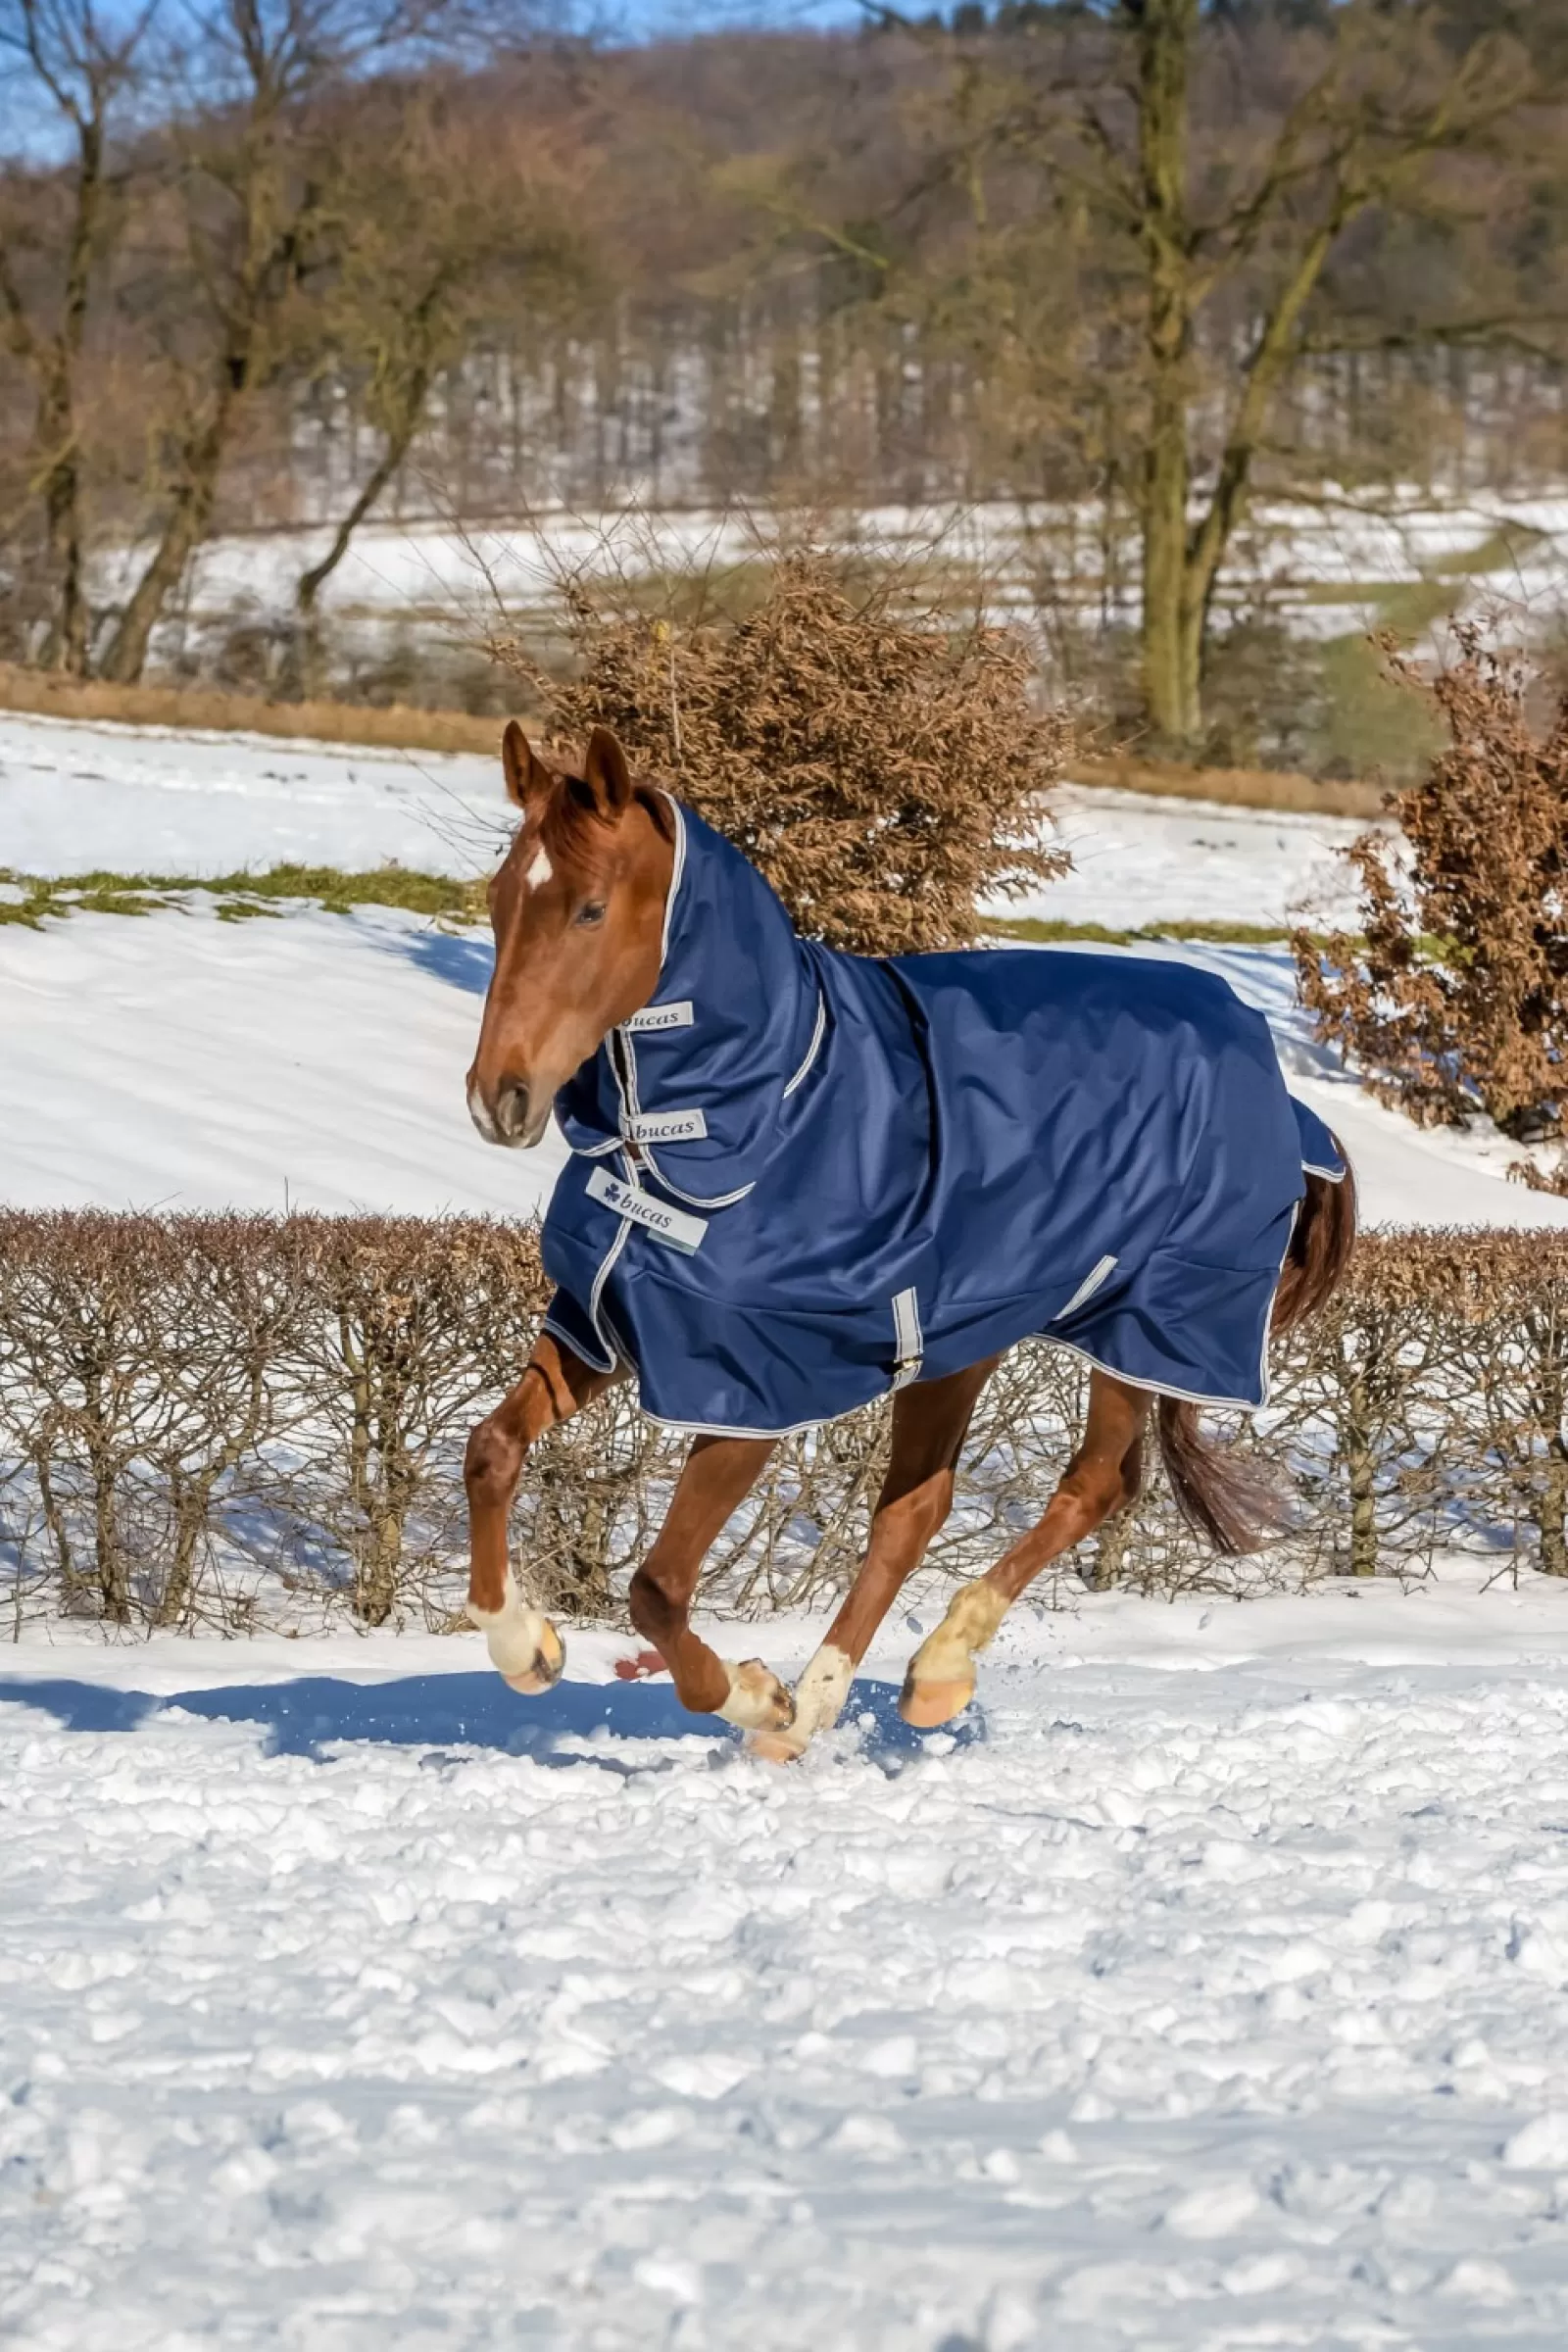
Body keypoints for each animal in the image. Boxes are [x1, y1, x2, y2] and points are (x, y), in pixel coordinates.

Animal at [461, 724, 1353, 1759]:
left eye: (591, 908)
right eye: (499, 899)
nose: (499, 1098)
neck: (758, 1113)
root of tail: (1272, 1075)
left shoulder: (747, 1393)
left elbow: (656, 1591)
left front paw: (752, 1693)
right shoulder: (603, 1321)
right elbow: (490, 1452)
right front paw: (528, 1647)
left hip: (1145, 1326)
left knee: (1094, 1485)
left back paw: (928, 1674)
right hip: (954, 1343)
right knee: (915, 1511)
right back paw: (822, 1705)